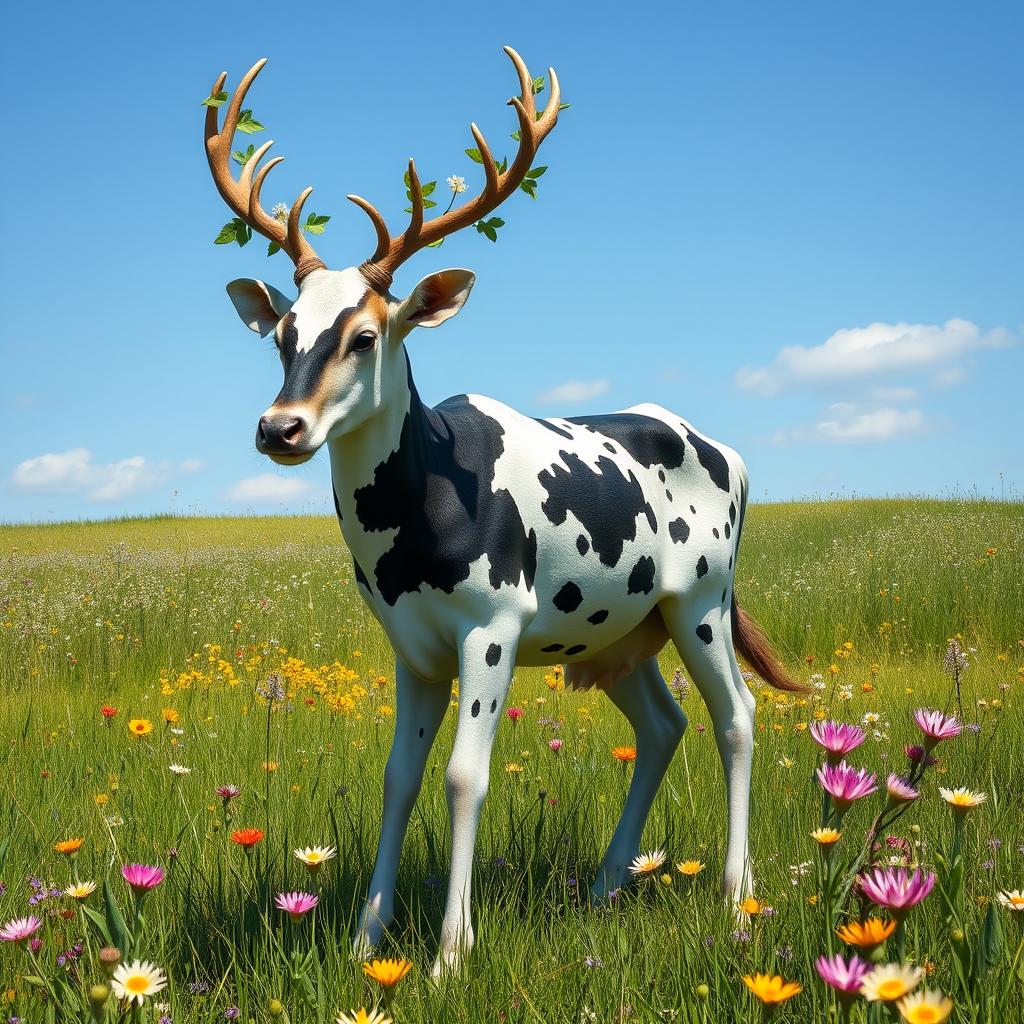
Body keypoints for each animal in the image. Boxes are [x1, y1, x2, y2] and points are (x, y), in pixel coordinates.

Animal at [203, 47, 803, 975]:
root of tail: (732, 456)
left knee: (735, 718)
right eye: (283, 336)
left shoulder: (496, 621)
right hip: (619, 636)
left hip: (702, 596)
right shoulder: (410, 646)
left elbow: (463, 777)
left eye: (366, 336)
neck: (416, 531)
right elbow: (397, 778)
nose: (280, 428)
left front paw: (451, 953)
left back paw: (737, 895)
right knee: (663, 725)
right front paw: (365, 938)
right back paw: (606, 884)